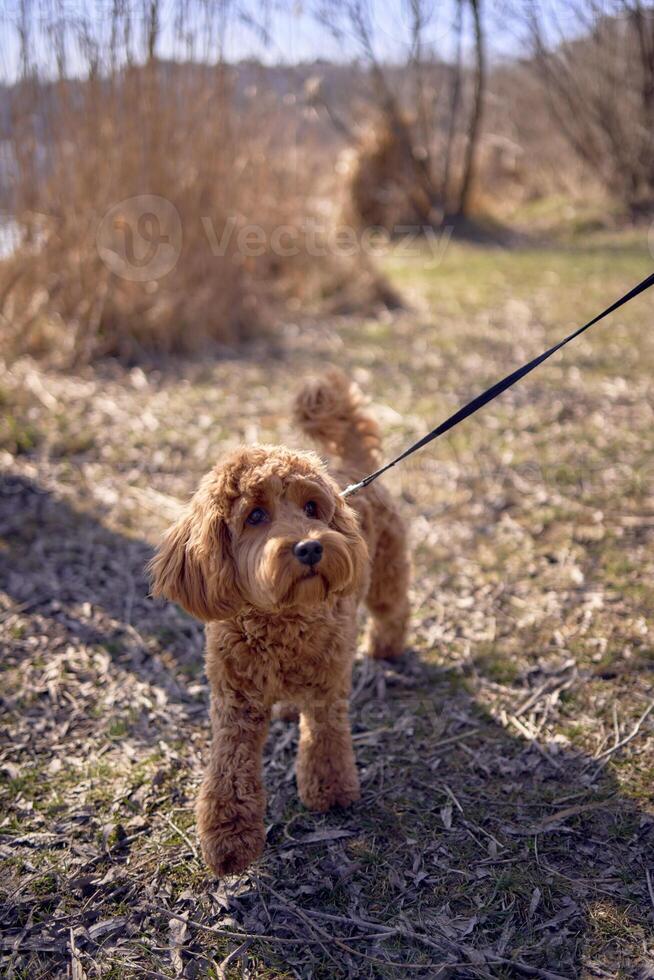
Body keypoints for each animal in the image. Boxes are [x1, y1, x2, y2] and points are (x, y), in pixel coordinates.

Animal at [151, 372, 412, 876]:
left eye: (311, 508)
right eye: (255, 515)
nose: (310, 547)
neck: (280, 619)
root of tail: (356, 469)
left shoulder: (327, 687)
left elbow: (326, 740)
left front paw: (330, 793)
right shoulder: (234, 702)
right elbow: (230, 770)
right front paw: (229, 839)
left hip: (386, 571)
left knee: (393, 609)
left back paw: (386, 647)